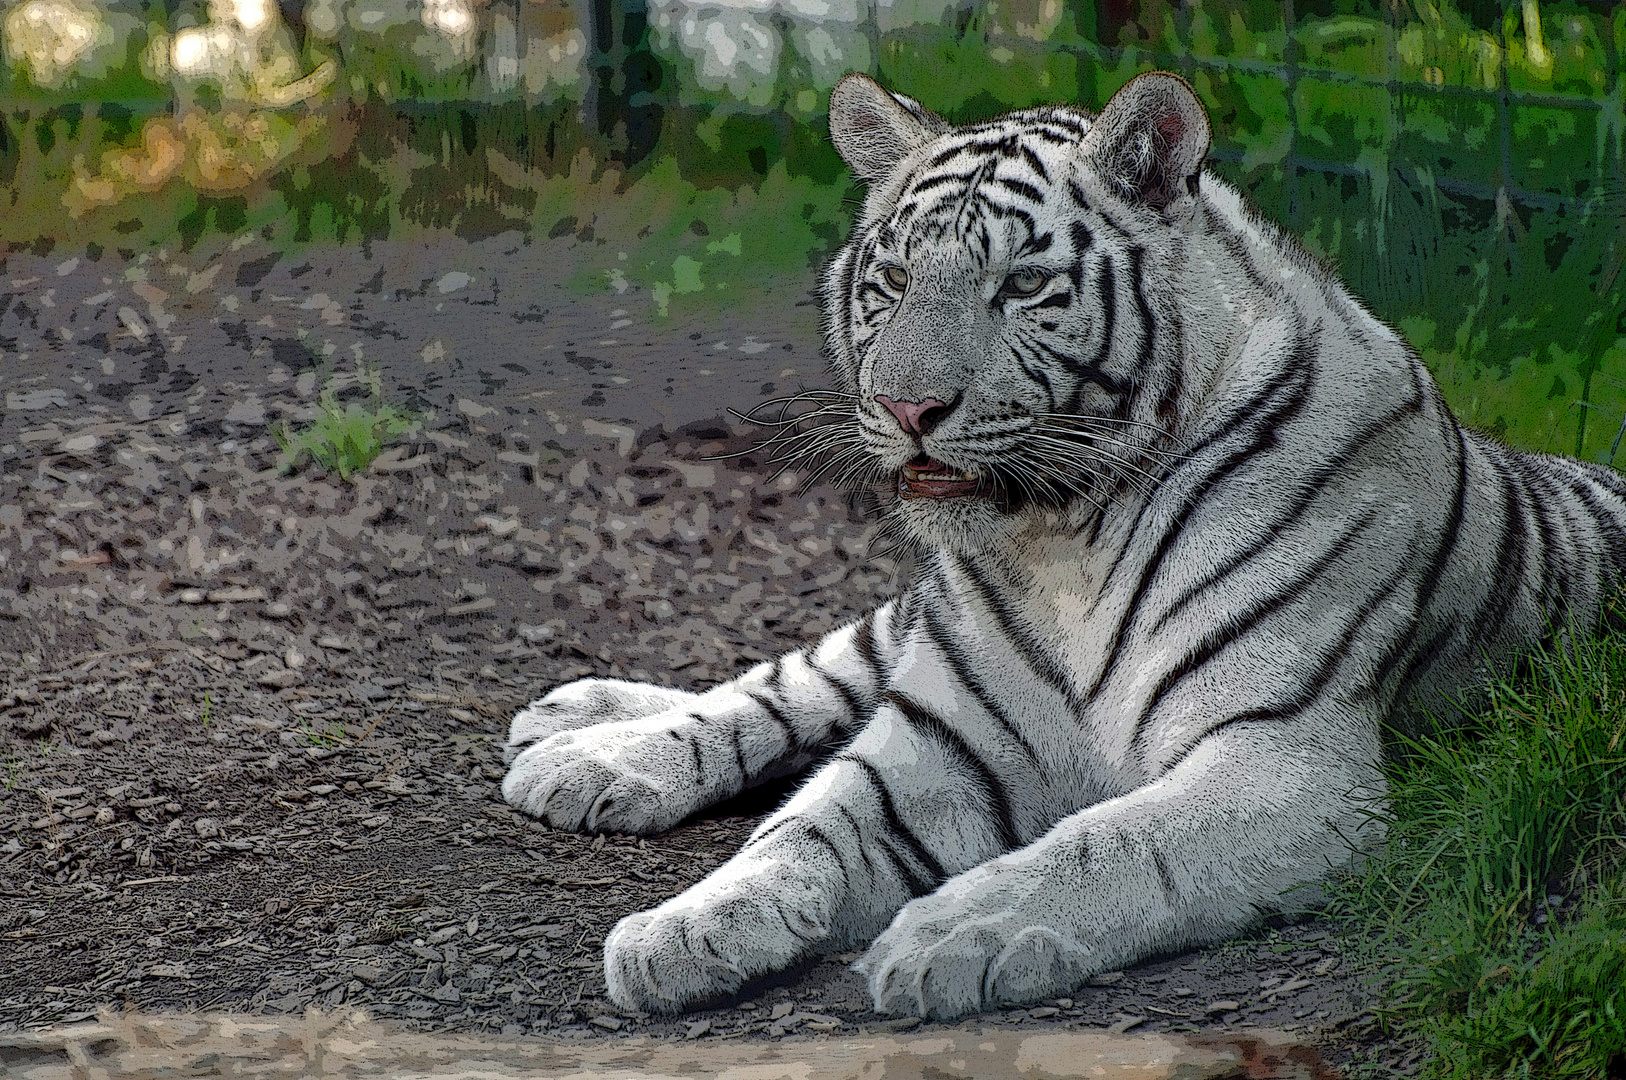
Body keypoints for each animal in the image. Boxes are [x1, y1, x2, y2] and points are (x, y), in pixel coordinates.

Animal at [500, 71, 1626, 1014]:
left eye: (1021, 287)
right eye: (892, 280)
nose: (907, 407)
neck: (1064, 540)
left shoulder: (1285, 762)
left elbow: (1109, 842)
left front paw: (949, 934)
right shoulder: (941, 737)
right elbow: (804, 827)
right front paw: (682, 928)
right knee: (801, 674)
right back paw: (588, 737)